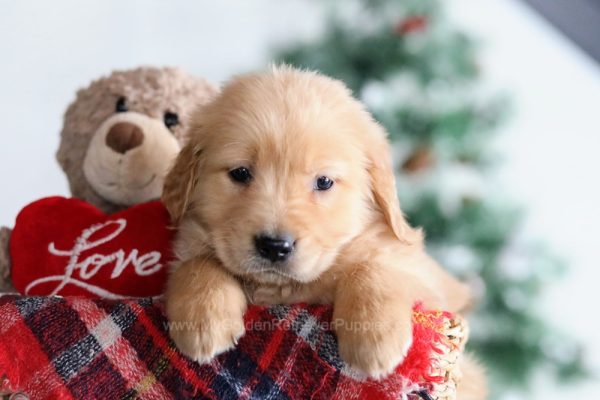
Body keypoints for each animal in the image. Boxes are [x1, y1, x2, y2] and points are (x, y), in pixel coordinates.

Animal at [162, 66, 480, 394]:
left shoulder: (432, 283)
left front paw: (375, 336)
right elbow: (196, 263)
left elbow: (373, 266)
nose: (274, 246)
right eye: (240, 173)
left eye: (324, 181)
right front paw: (203, 319)